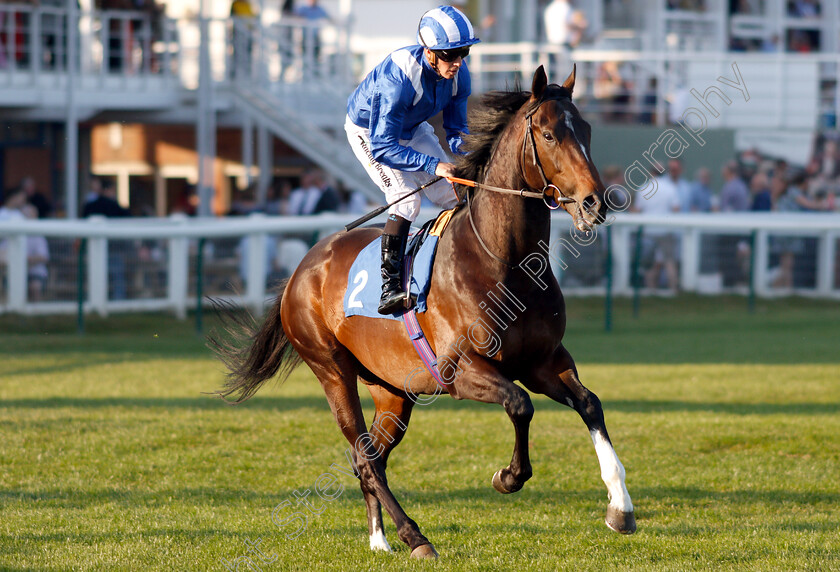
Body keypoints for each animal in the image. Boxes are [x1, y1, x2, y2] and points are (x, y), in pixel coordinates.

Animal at [212, 65, 636, 556]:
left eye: (586, 130)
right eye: (548, 134)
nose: (594, 203)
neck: (504, 260)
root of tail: (301, 269)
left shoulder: (544, 360)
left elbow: (589, 404)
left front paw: (620, 509)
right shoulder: (461, 370)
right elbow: (520, 404)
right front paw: (508, 476)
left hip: (393, 388)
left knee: (371, 456)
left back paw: (379, 538)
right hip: (332, 370)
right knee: (363, 455)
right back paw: (413, 536)